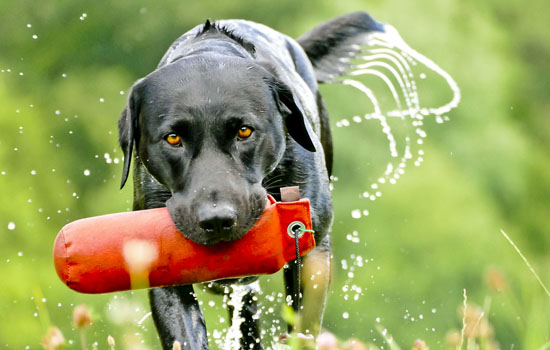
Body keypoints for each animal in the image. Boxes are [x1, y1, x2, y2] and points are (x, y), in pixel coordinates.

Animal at [117, 11, 384, 350]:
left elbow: (302, 326)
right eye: (173, 138)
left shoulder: (313, 252)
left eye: (244, 131)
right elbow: (185, 335)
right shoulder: (162, 273)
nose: (217, 220)